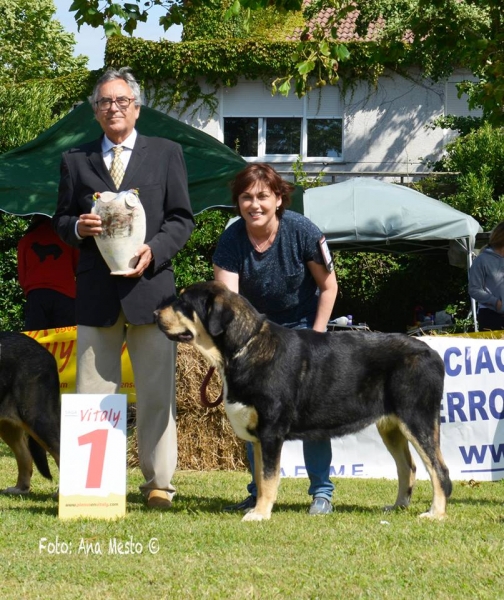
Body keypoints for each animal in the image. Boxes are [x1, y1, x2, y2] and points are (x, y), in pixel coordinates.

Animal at [155, 282, 452, 520]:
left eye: (183, 302)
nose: (155, 314)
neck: (245, 346)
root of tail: (432, 352)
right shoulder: (261, 437)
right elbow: (261, 477)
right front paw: (257, 507)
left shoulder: (271, 432)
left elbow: (269, 478)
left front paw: (260, 514)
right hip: (391, 427)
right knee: (408, 468)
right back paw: (398, 506)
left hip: (417, 420)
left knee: (439, 470)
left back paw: (435, 513)